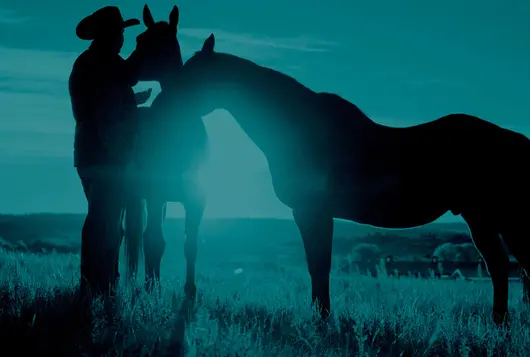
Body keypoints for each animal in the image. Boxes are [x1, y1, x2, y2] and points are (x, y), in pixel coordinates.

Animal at [122, 4, 207, 298]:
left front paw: (190, 290)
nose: (126, 69)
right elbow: (154, 243)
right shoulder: (156, 194)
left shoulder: (195, 201)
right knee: (136, 237)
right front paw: (151, 290)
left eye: (157, 43)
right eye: (139, 39)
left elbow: (190, 246)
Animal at [129, 27, 528, 322]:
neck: (298, 129)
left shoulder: (313, 212)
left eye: (193, 77)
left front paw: (321, 317)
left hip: (493, 216)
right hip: (487, 218)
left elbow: (318, 265)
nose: (159, 108)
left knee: (508, 266)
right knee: (504, 266)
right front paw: (321, 314)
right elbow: (317, 265)